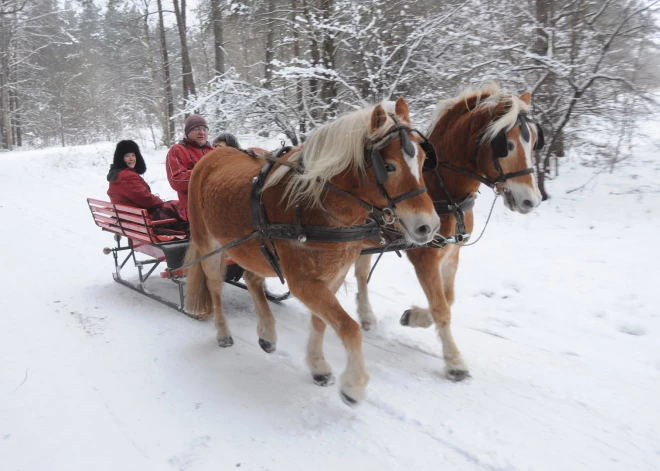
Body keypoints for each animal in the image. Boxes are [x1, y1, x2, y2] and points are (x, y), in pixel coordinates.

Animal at [184, 97, 438, 406]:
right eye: (389, 167)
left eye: (423, 161)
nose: (428, 226)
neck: (317, 203)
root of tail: (214, 153)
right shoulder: (303, 282)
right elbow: (349, 327)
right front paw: (353, 385)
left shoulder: (333, 276)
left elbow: (321, 322)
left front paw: (318, 366)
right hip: (210, 244)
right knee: (215, 286)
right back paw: (223, 332)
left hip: (252, 247)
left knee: (253, 279)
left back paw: (267, 333)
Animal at [354, 83, 544, 382]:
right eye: (508, 145)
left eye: (534, 141)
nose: (531, 201)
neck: (443, 192)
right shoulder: (425, 258)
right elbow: (441, 307)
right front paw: (454, 362)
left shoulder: (452, 254)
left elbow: (448, 299)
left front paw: (413, 316)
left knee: (361, 273)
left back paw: (365, 315)